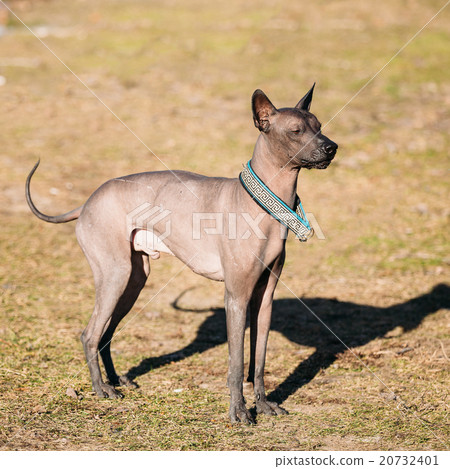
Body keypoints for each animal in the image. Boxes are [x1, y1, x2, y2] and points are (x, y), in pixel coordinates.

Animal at [23, 86, 334, 422]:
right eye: (296, 131)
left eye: (319, 125)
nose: (332, 147)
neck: (266, 204)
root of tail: (88, 200)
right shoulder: (236, 296)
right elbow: (237, 363)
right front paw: (239, 412)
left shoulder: (264, 297)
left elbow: (259, 358)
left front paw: (263, 405)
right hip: (115, 275)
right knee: (89, 334)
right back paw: (101, 389)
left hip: (134, 280)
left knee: (105, 334)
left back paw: (115, 380)